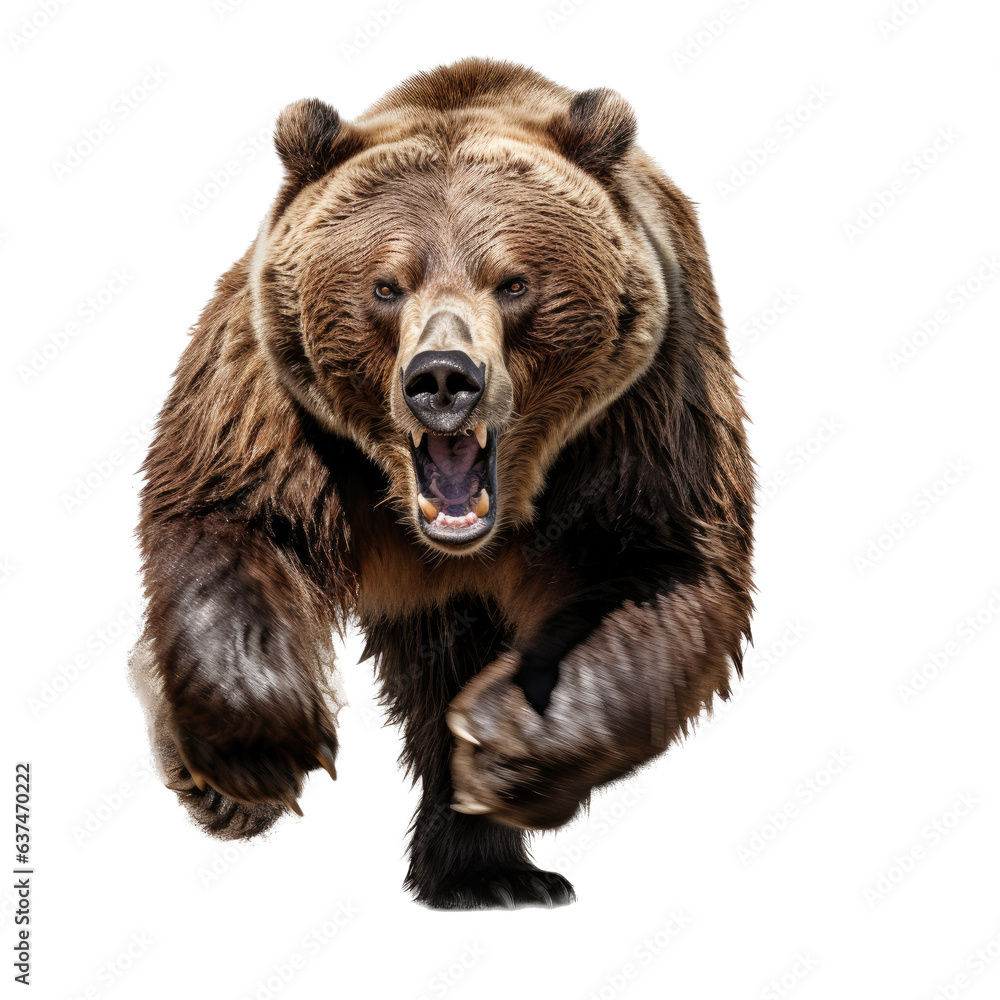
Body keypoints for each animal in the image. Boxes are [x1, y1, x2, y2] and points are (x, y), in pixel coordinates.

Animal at [128, 57, 755, 910]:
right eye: (386, 285)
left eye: (514, 281)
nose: (444, 378)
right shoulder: (280, 402)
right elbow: (236, 517)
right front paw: (256, 752)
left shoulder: (643, 411)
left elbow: (658, 568)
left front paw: (501, 745)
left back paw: (490, 872)